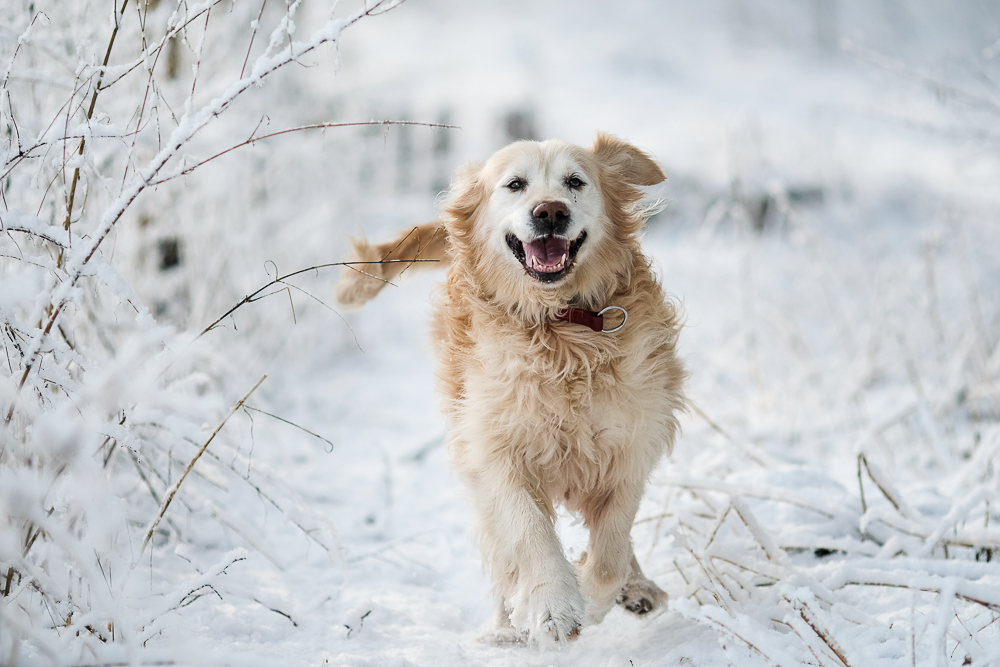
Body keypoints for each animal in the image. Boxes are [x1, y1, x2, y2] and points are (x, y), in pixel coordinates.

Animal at [338, 133, 688, 644]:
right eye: (515, 184)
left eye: (575, 182)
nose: (550, 212)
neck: (559, 326)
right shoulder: (496, 449)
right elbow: (527, 531)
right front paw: (553, 605)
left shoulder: (629, 446)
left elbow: (610, 554)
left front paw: (592, 596)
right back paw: (507, 626)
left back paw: (638, 588)